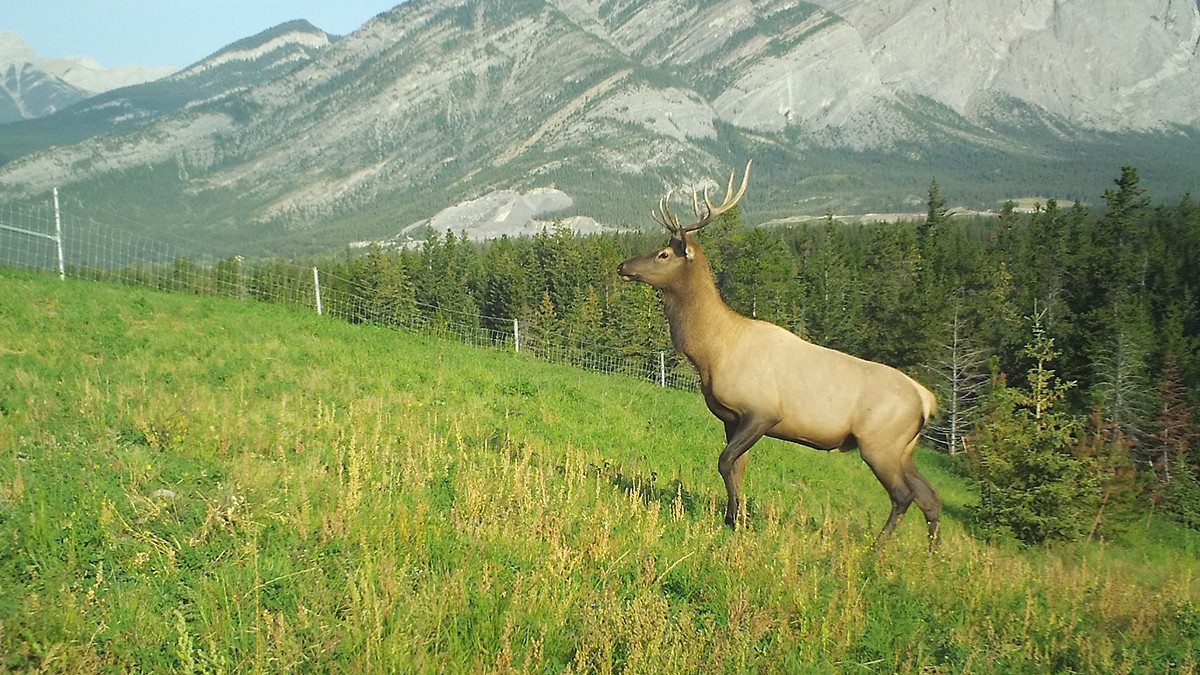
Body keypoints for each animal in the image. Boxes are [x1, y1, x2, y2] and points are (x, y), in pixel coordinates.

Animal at [616, 161, 942, 548]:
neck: (712, 351)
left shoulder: (763, 412)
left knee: (904, 495)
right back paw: (932, 554)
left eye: (663, 254)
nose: (623, 266)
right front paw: (733, 518)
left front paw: (739, 520)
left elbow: (725, 462)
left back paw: (876, 548)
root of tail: (926, 400)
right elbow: (737, 467)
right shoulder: (731, 417)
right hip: (904, 447)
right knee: (931, 496)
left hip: (880, 442)